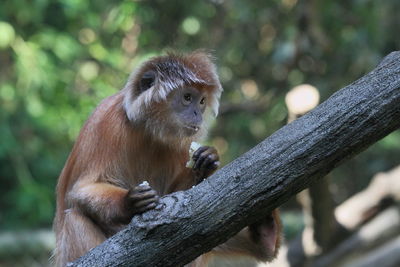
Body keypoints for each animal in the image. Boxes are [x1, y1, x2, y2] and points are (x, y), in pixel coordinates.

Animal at [54, 51, 282, 266]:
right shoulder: (106, 122)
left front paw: (207, 162)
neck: (147, 130)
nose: (198, 114)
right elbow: (81, 190)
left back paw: (266, 233)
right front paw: (130, 202)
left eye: (202, 101)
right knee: (75, 218)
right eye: (187, 97)